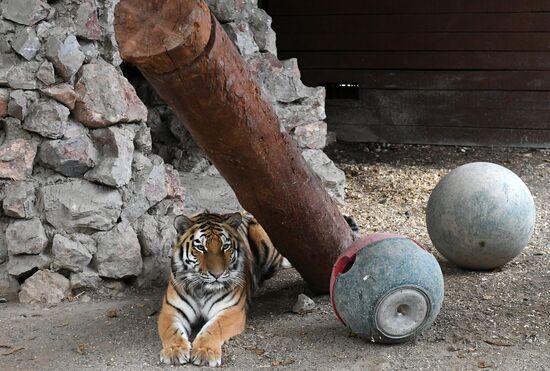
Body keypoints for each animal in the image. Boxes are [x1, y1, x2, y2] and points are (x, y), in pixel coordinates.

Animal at [156, 211, 288, 368]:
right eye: (200, 247)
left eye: (225, 246)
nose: (217, 274)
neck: (201, 288)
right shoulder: (171, 310)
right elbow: (172, 331)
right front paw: (174, 350)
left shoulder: (231, 310)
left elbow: (213, 328)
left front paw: (205, 352)